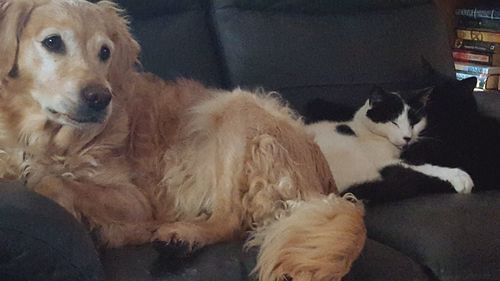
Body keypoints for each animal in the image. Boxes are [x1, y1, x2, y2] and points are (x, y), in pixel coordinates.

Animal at [0, 1, 368, 278]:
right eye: (52, 42)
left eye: (105, 52)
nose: (99, 98)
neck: (47, 141)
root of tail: (323, 186)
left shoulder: (136, 200)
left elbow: (53, 182)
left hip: (232, 113)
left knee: (229, 220)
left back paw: (180, 234)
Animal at [304, 84, 472, 202]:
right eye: (394, 122)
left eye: (414, 122)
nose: (408, 137)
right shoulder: (385, 161)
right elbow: (422, 166)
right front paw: (459, 176)